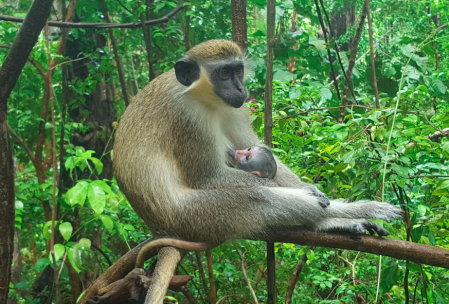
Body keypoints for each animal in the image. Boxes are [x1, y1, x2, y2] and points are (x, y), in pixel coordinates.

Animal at [114, 40, 400, 302]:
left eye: (238, 70)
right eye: (223, 73)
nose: (241, 88)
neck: (200, 97)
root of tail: (160, 228)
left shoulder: (234, 108)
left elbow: (256, 147)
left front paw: (310, 188)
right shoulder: (187, 116)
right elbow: (208, 177)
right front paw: (318, 202)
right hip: (194, 217)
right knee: (261, 198)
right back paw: (333, 219)